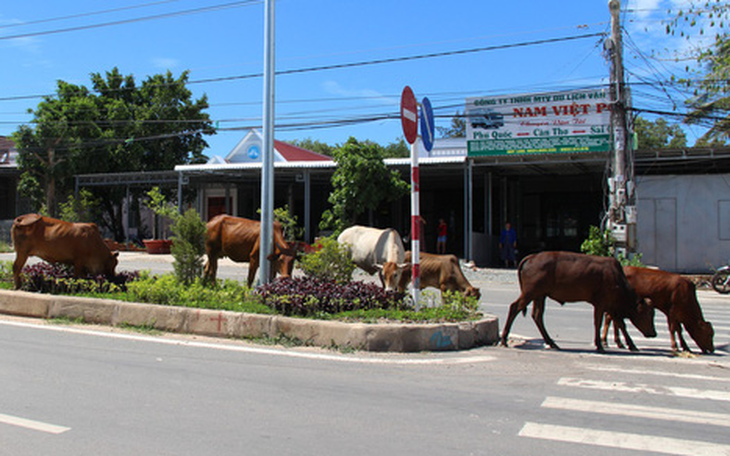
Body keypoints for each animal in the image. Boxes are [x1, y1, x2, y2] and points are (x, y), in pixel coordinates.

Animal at [500, 249, 656, 352]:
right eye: (648, 314)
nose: (653, 333)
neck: (618, 279)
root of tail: (531, 257)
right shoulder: (602, 303)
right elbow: (600, 323)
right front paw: (600, 345)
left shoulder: (611, 306)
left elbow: (620, 324)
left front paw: (631, 345)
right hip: (530, 293)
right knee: (515, 307)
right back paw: (504, 340)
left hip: (540, 295)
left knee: (537, 316)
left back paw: (552, 343)